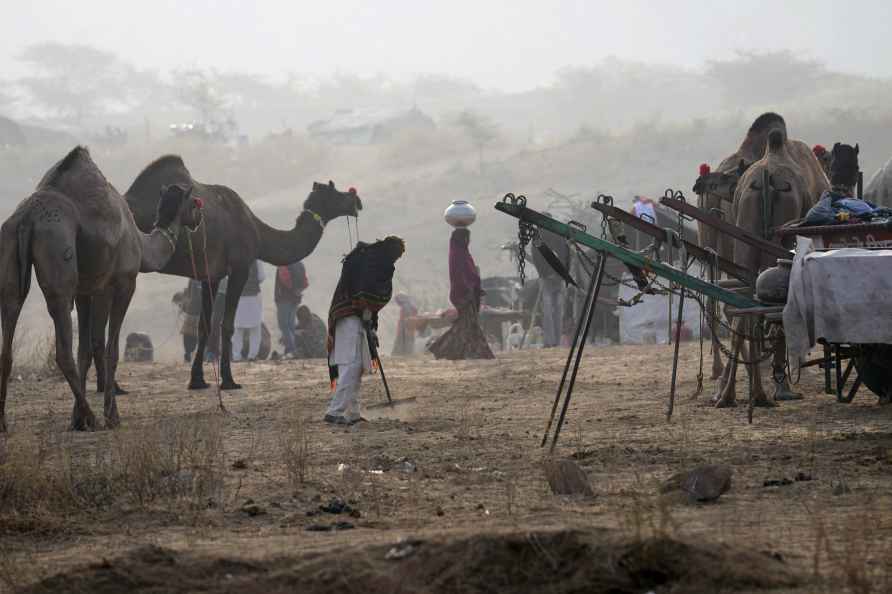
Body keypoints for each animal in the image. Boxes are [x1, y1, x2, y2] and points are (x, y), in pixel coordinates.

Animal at [0, 145, 199, 428]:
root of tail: (27, 217)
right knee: (62, 344)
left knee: (10, 321)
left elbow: (84, 350)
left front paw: (76, 421)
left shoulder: (85, 291)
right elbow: (107, 349)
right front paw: (110, 416)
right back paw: (93, 418)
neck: (142, 244)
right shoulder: (120, 283)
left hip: (8, 245)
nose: (199, 218)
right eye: (195, 202)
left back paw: (5, 423)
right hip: (57, 250)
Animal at [106, 155, 364, 390]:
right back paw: (113, 387)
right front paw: (229, 380)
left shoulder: (211, 274)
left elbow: (205, 327)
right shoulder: (239, 268)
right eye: (335, 191)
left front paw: (197, 380)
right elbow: (227, 325)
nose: (356, 200)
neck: (257, 232)